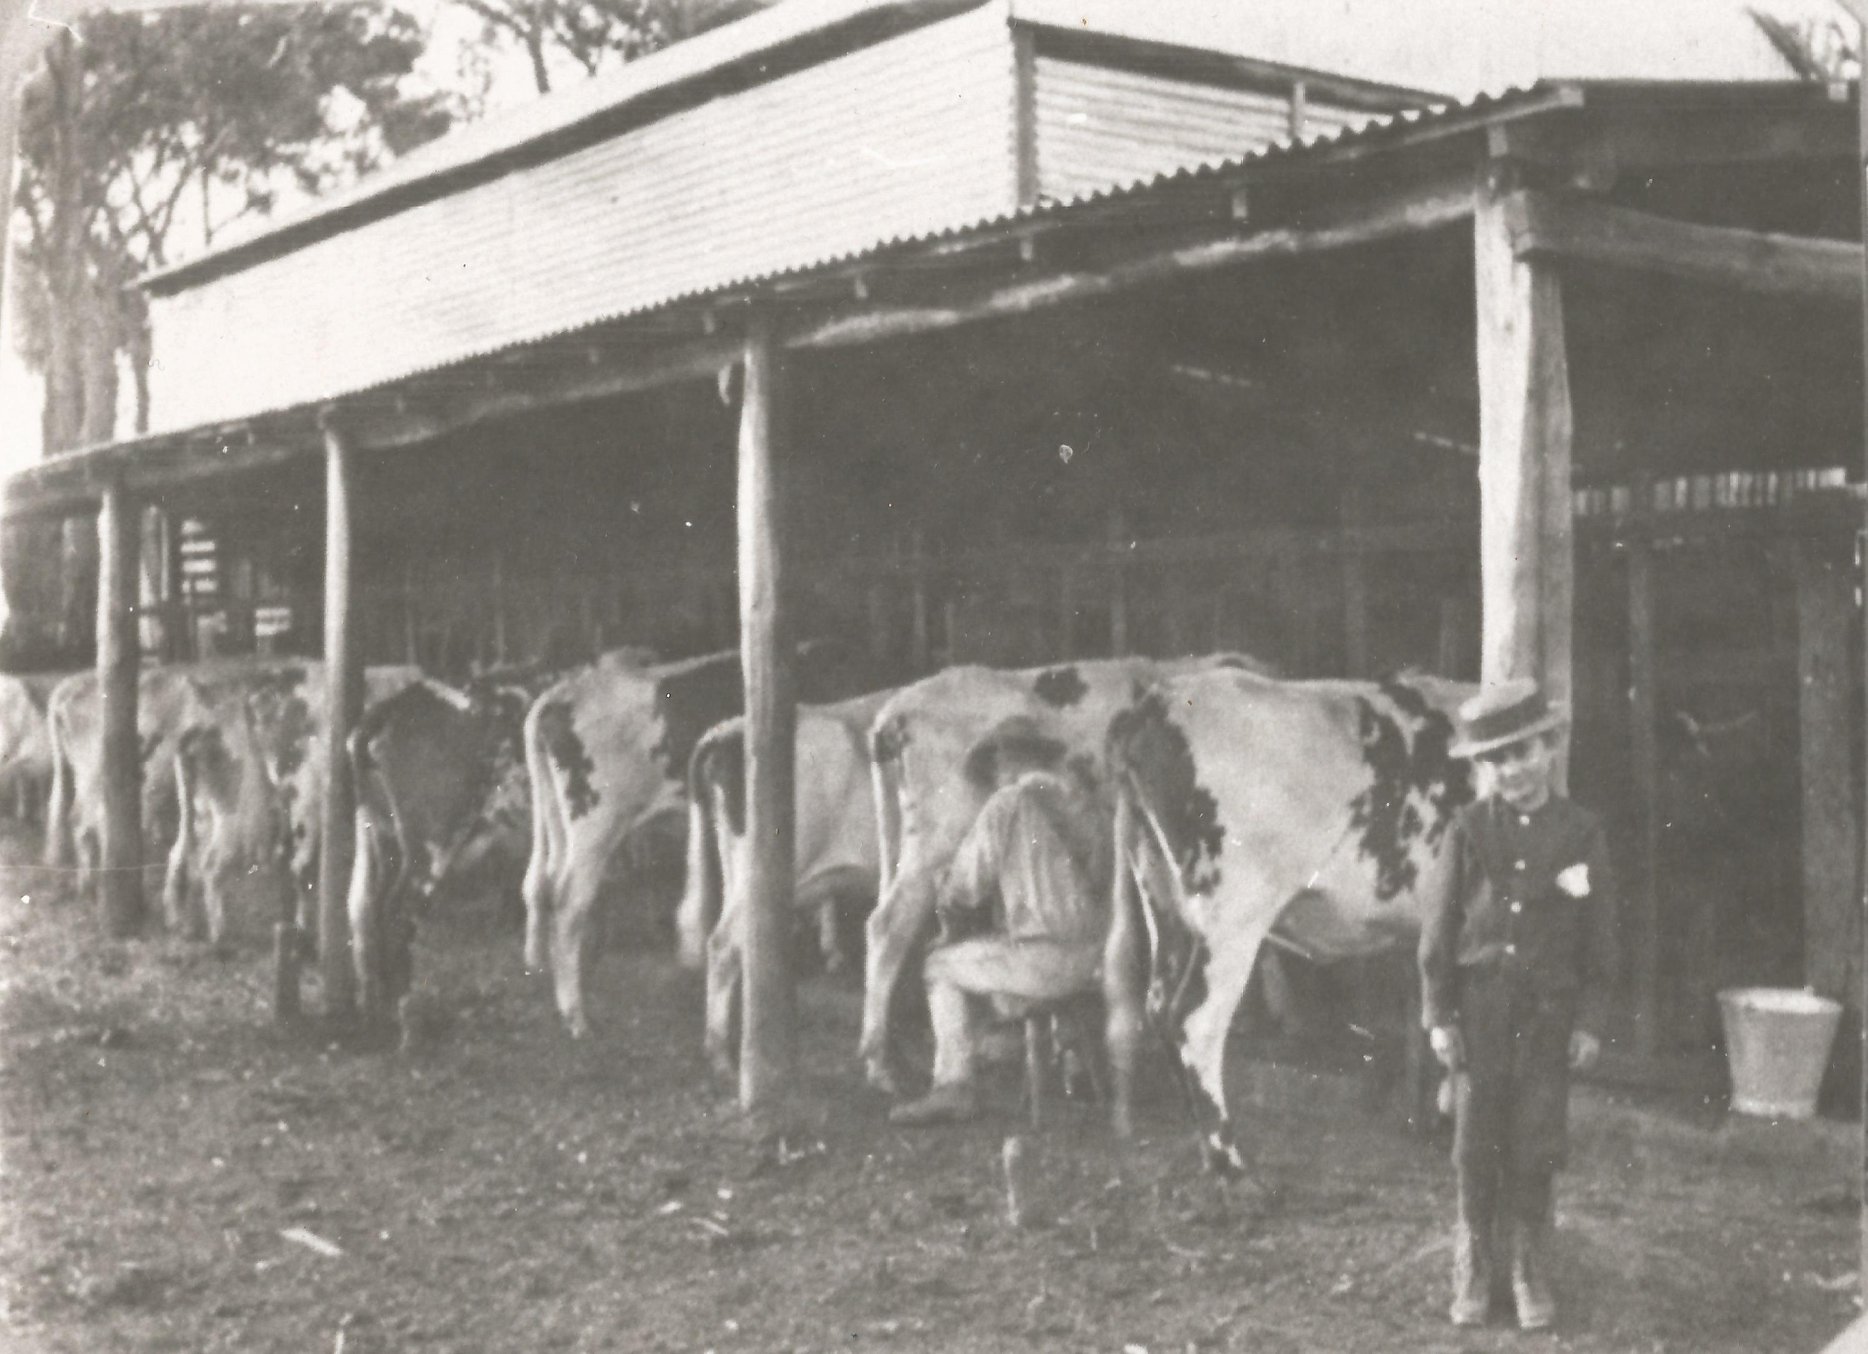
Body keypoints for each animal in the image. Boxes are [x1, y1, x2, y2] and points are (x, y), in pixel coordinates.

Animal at [526, 642, 866, 1038]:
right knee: (567, 903)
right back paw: (577, 1017)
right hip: (596, 823)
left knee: (541, 884)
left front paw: (829, 949)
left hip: (559, 820)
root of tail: (560, 693)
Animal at [1098, 672, 1479, 1165]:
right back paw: (1229, 1158)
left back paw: (1205, 1144)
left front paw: (1435, 1117)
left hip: (1161, 898)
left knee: (1160, 1008)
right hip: (1233, 916)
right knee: (1196, 1022)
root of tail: (1159, 700)